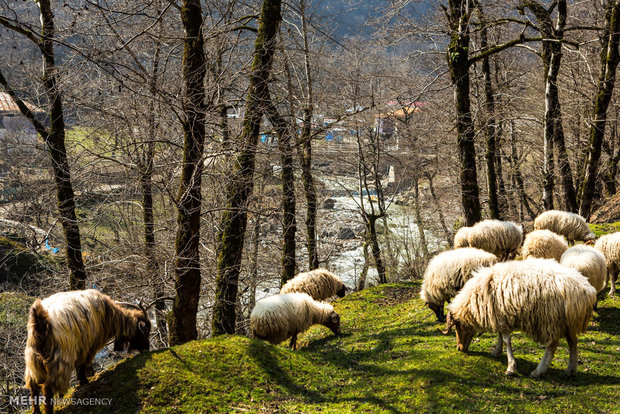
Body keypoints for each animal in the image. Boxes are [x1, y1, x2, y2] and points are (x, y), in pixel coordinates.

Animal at [446, 258, 596, 378]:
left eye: (457, 328)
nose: (459, 348)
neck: (477, 297)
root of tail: (586, 290)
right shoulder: (501, 317)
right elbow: (500, 336)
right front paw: (496, 351)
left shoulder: (502, 316)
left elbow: (507, 341)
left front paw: (510, 367)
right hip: (568, 323)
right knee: (573, 342)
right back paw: (571, 369)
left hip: (551, 320)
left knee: (551, 346)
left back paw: (538, 371)